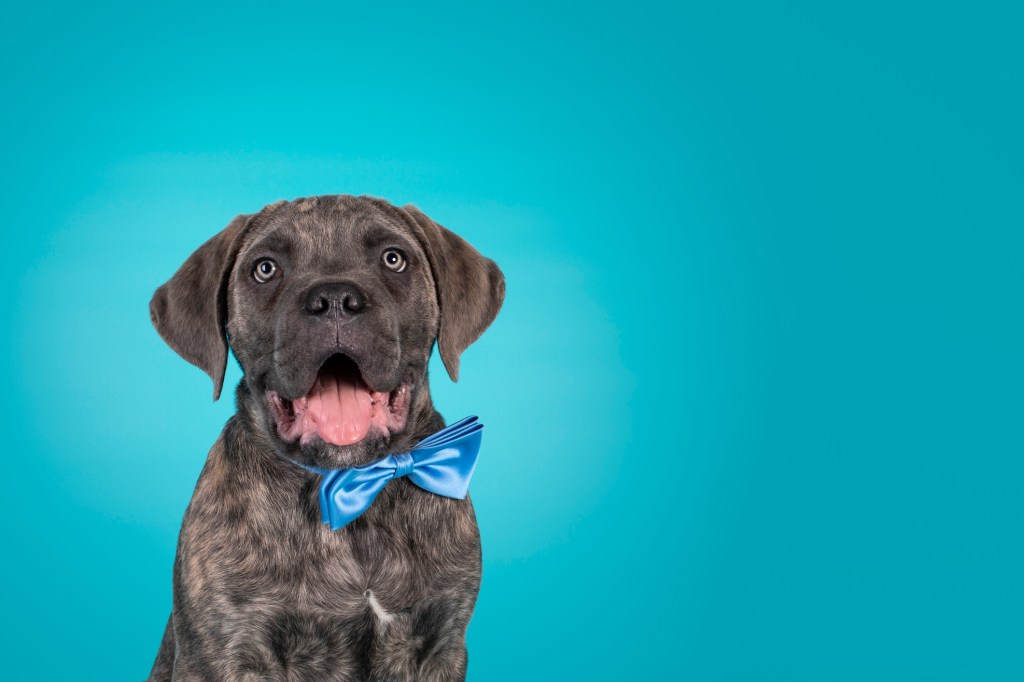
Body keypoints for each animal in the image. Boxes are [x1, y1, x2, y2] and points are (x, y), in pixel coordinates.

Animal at [146, 193, 505, 675]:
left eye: (393, 258)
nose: (335, 299)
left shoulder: (441, 645)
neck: (355, 487)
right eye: (265, 268)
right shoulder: (225, 652)